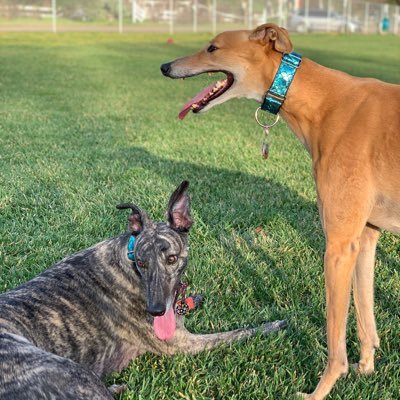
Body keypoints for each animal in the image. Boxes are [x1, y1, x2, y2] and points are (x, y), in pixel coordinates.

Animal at [0, 182, 288, 400]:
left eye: (171, 259)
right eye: (141, 262)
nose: (156, 310)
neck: (127, 260)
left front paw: (193, 299)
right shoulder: (181, 344)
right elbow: (238, 333)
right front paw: (273, 325)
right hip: (74, 374)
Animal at [161, 23, 400, 398]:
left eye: (212, 48)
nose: (165, 66)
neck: (324, 101)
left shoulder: (338, 247)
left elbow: (335, 339)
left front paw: (320, 391)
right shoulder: (364, 237)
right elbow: (365, 314)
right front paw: (366, 368)